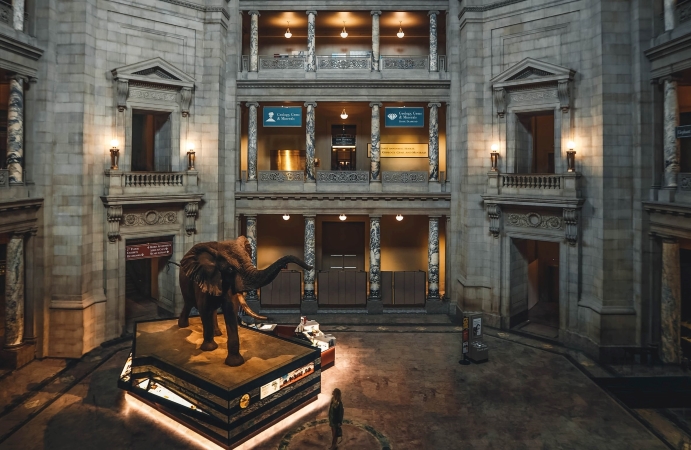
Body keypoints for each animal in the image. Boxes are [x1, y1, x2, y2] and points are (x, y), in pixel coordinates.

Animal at [178, 236, 310, 366]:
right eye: (230, 269)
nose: (310, 267)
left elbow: (230, 309)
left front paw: (235, 363)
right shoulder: (204, 277)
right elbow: (204, 308)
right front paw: (210, 349)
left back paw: (217, 333)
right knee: (189, 303)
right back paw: (183, 325)